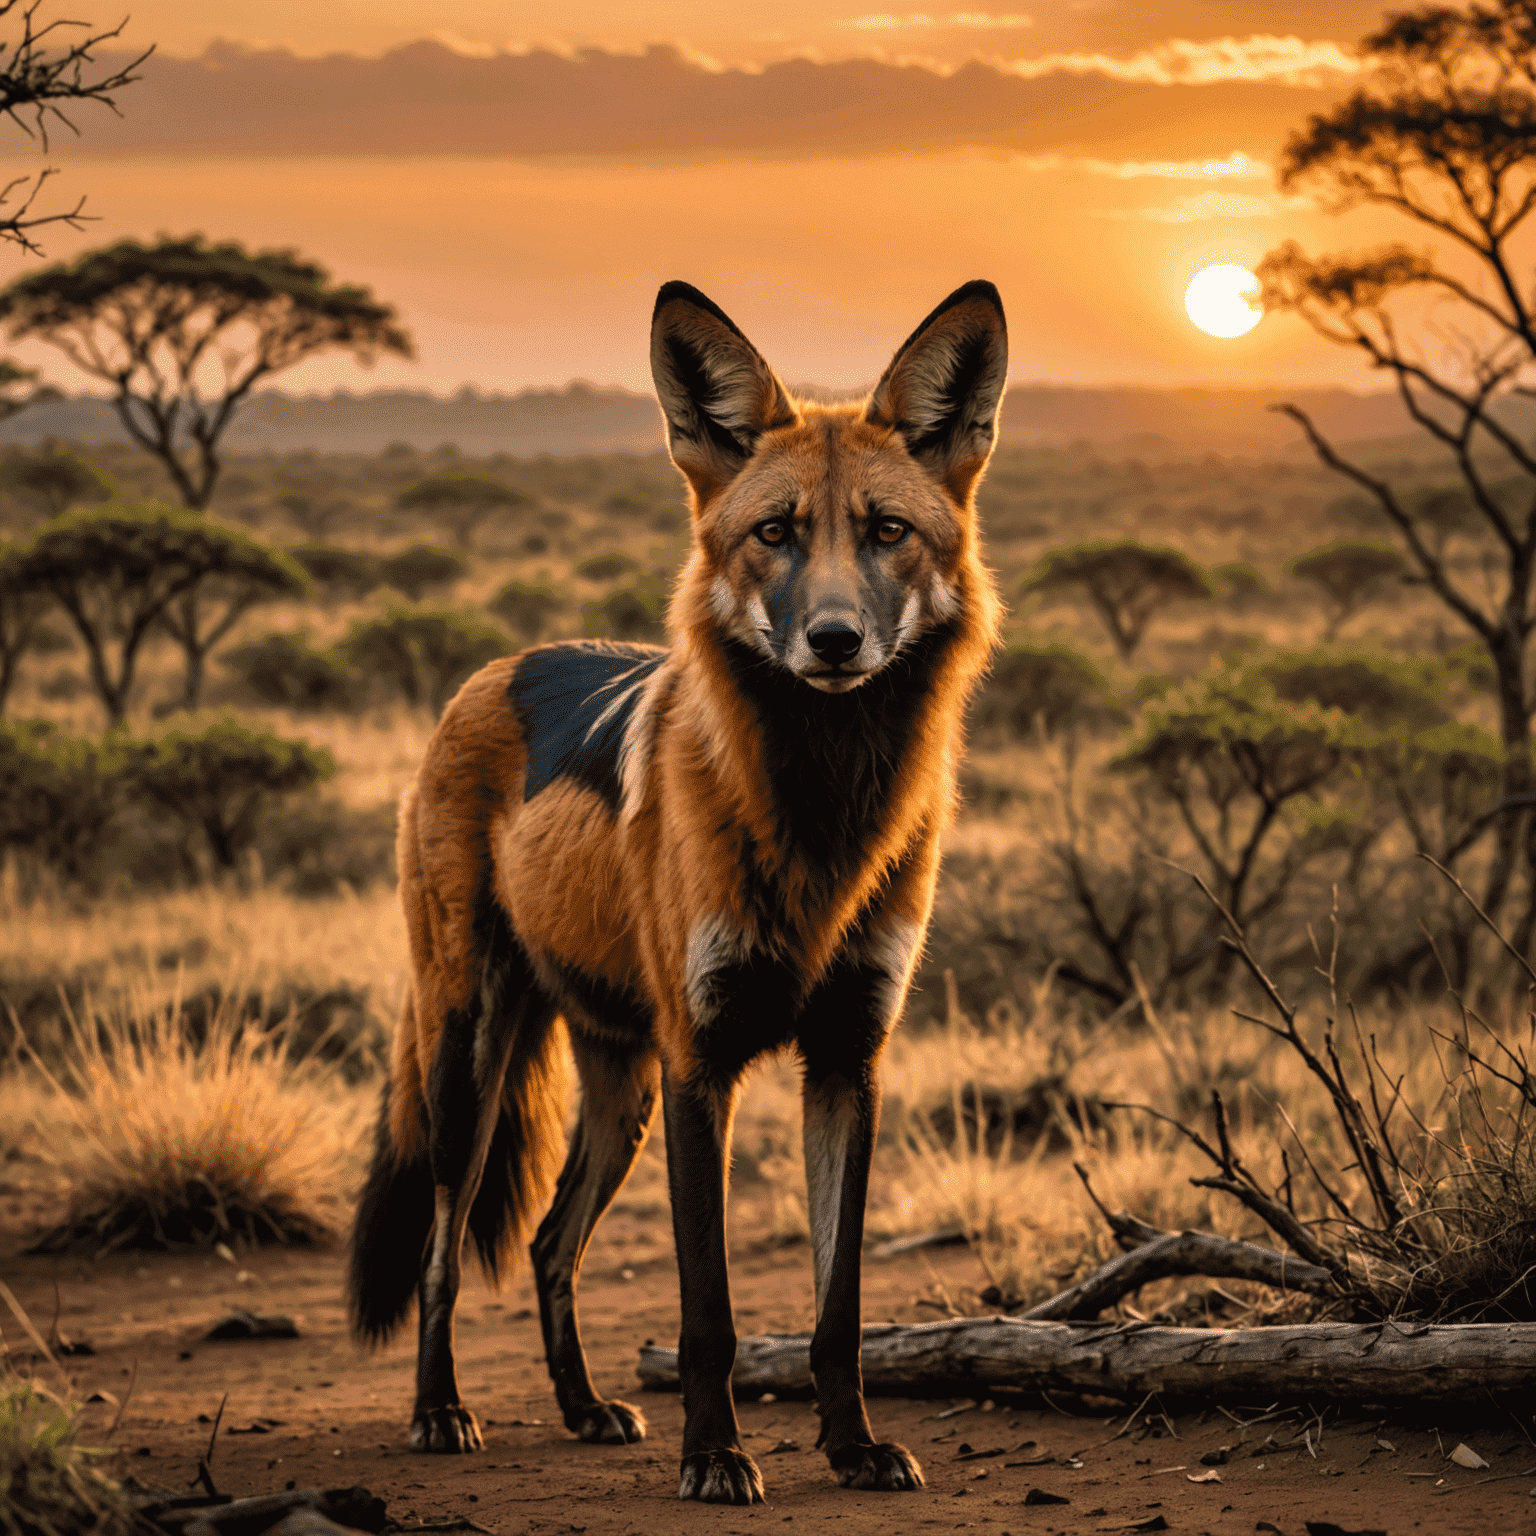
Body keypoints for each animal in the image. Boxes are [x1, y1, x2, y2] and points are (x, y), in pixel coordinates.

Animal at [345, 276, 1007, 1499]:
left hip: (621, 1090)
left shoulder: (845, 1060)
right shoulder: (706, 1062)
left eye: (887, 532)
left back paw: (582, 1408)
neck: (819, 820)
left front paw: (852, 1446)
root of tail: (495, 669)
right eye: (774, 533)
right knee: (441, 1253)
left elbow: (837, 1310)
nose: (835, 639)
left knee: (550, 1244)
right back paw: (439, 1409)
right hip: (473, 1067)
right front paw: (716, 1459)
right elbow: (710, 1313)